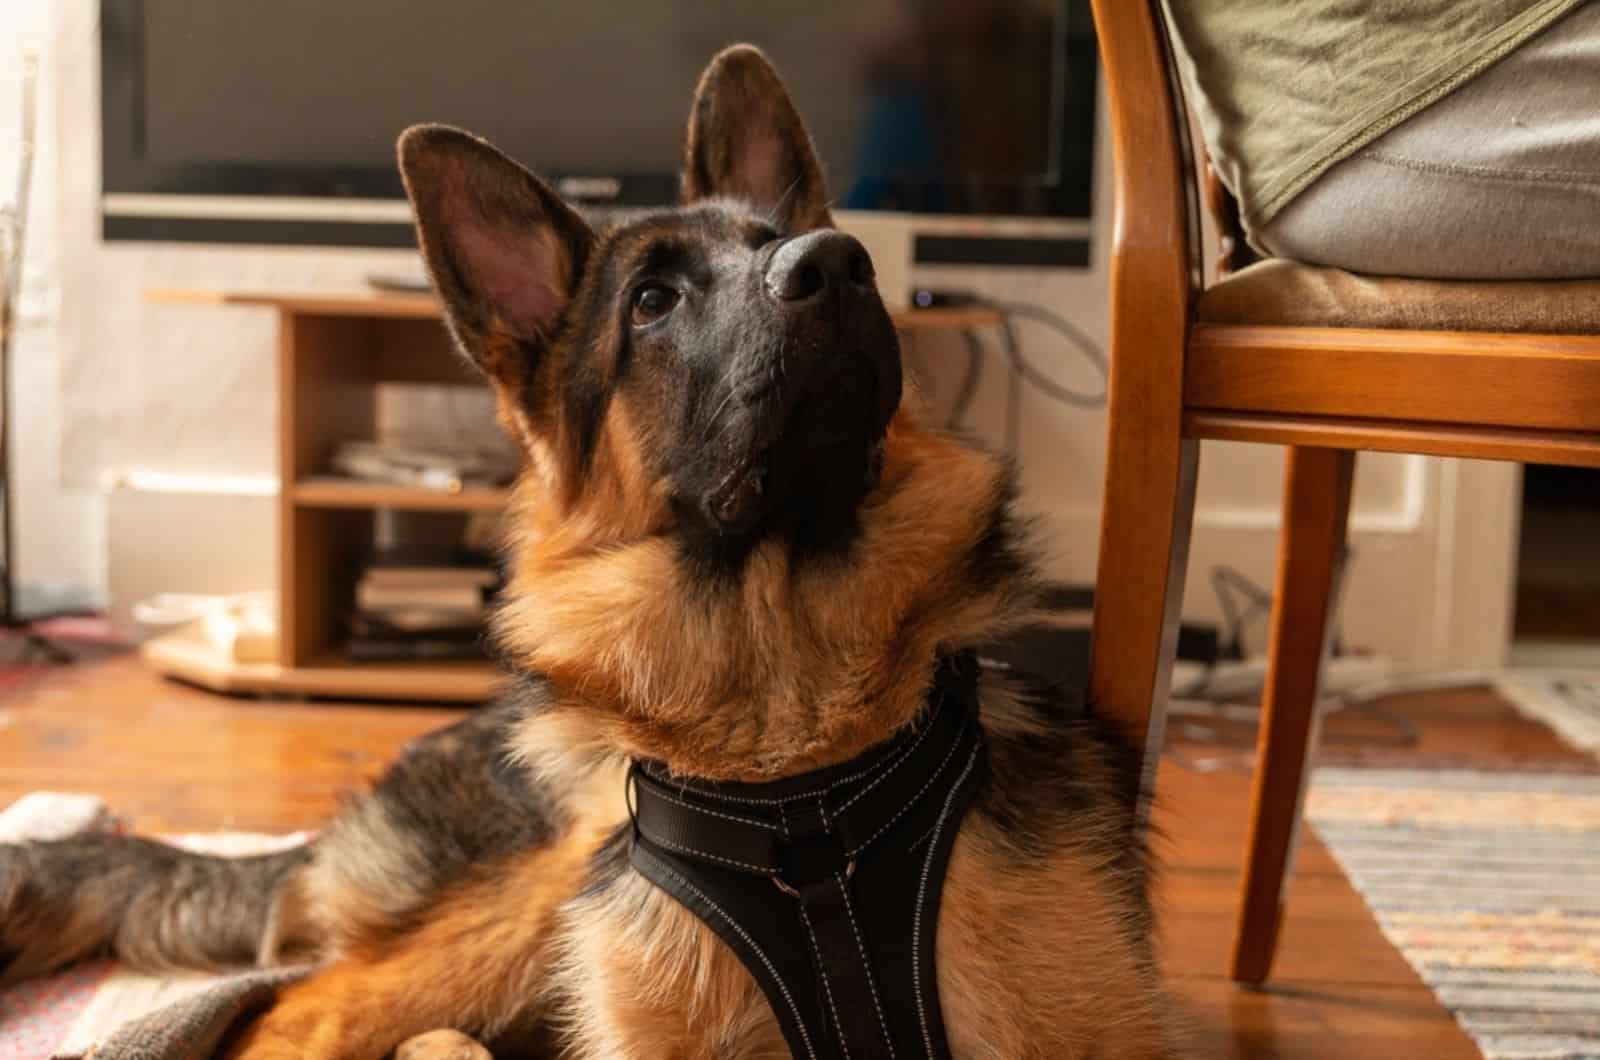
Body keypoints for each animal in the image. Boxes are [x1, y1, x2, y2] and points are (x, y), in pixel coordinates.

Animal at [0, 45, 1177, 1056]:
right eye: (651, 301)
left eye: (774, 240)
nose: (840, 262)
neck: (797, 777)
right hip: (525, 905)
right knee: (281, 1013)